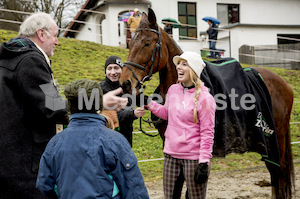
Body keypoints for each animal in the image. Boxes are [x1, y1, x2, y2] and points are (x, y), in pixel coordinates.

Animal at [119, 8, 292, 199]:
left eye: (147, 43)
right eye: (131, 42)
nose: (125, 82)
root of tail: (284, 84)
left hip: (275, 142)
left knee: (279, 172)